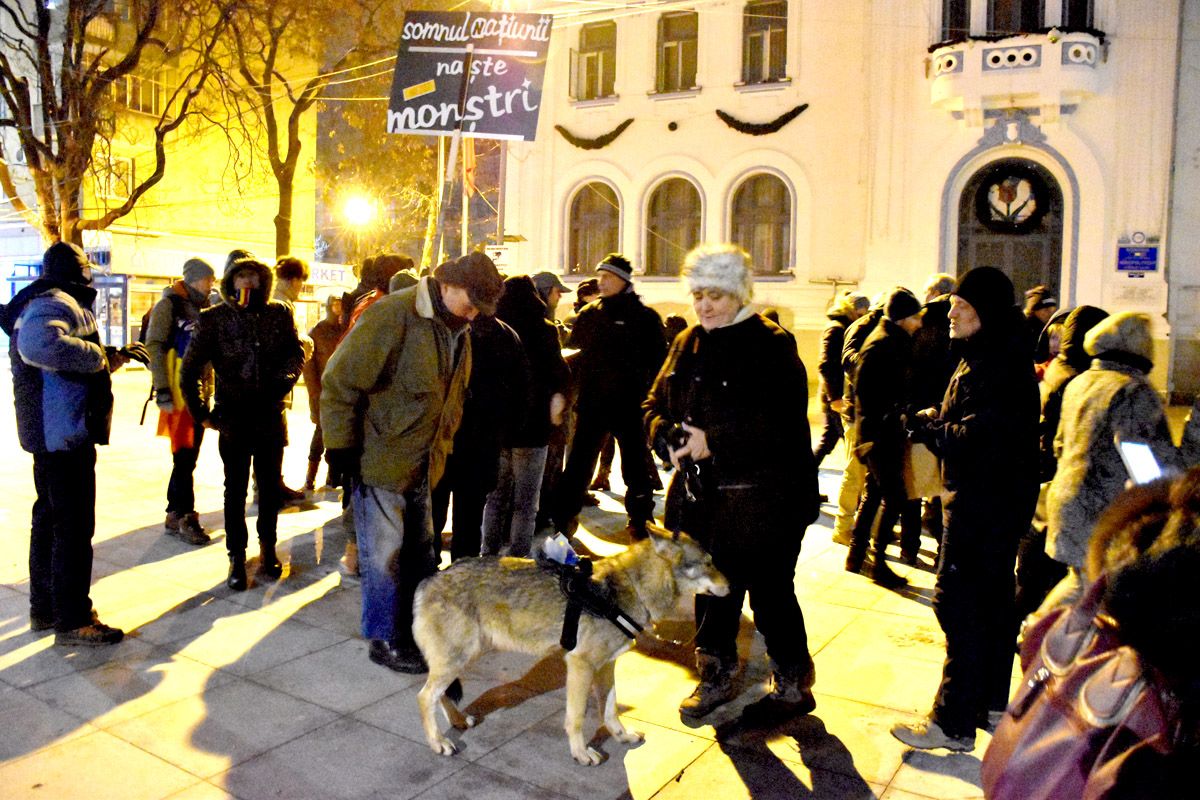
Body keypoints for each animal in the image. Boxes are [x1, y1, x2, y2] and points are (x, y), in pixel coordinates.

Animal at [413, 525, 729, 765]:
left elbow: (610, 711)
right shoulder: (580, 665)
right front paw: (581, 754)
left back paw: (457, 723)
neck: (631, 588)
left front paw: (622, 736)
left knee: (441, 696)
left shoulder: (607, 666)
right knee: (425, 697)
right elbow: (576, 717)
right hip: (457, 659)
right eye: (709, 563)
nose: (731, 587)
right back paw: (439, 743)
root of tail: (431, 578)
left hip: (462, 660)